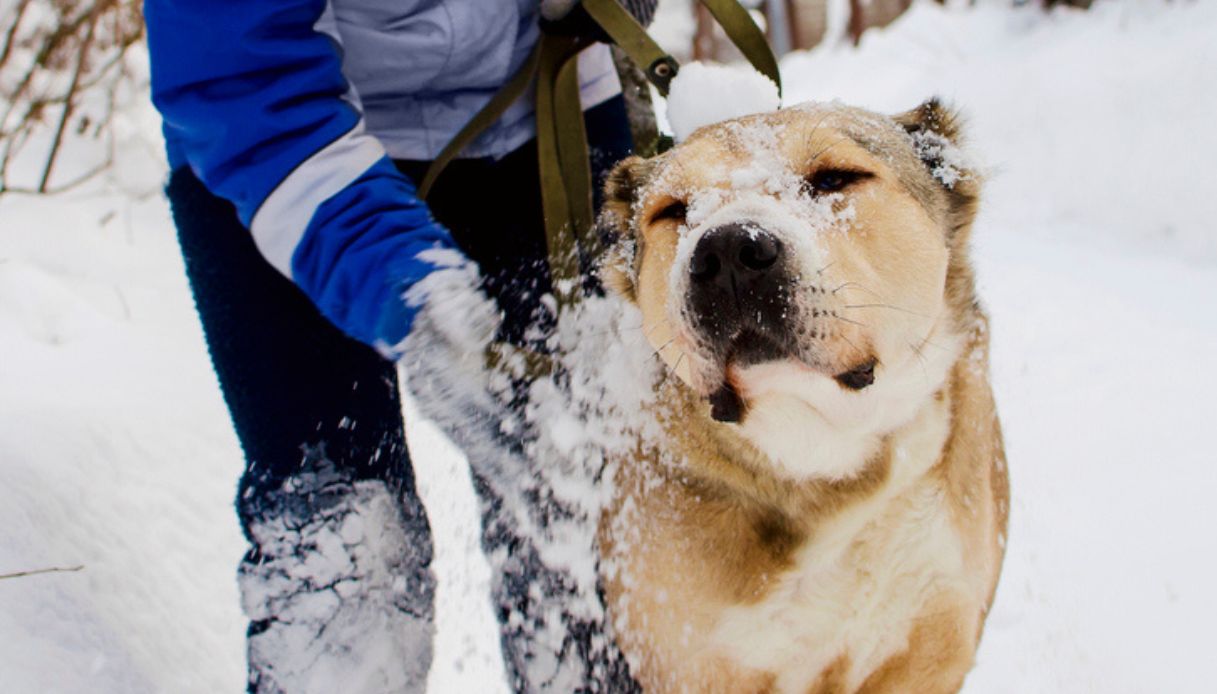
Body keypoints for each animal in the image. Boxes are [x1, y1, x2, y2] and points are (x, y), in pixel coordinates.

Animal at [596, 98, 1007, 691]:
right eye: (672, 210)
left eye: (835, 177)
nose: (728, 251)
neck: (825, 454)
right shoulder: (692, 662)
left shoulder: (936, 638)